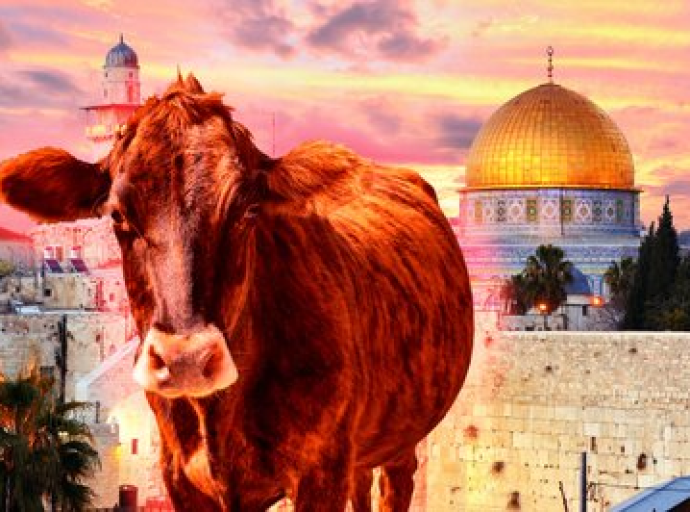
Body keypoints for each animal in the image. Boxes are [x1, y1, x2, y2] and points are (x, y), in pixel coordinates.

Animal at [0, 74, 473, 511]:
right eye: (117, 215)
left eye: (248, 211)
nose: (186, 360)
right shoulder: (182, 480)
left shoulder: (321, 473)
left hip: (402, 444)